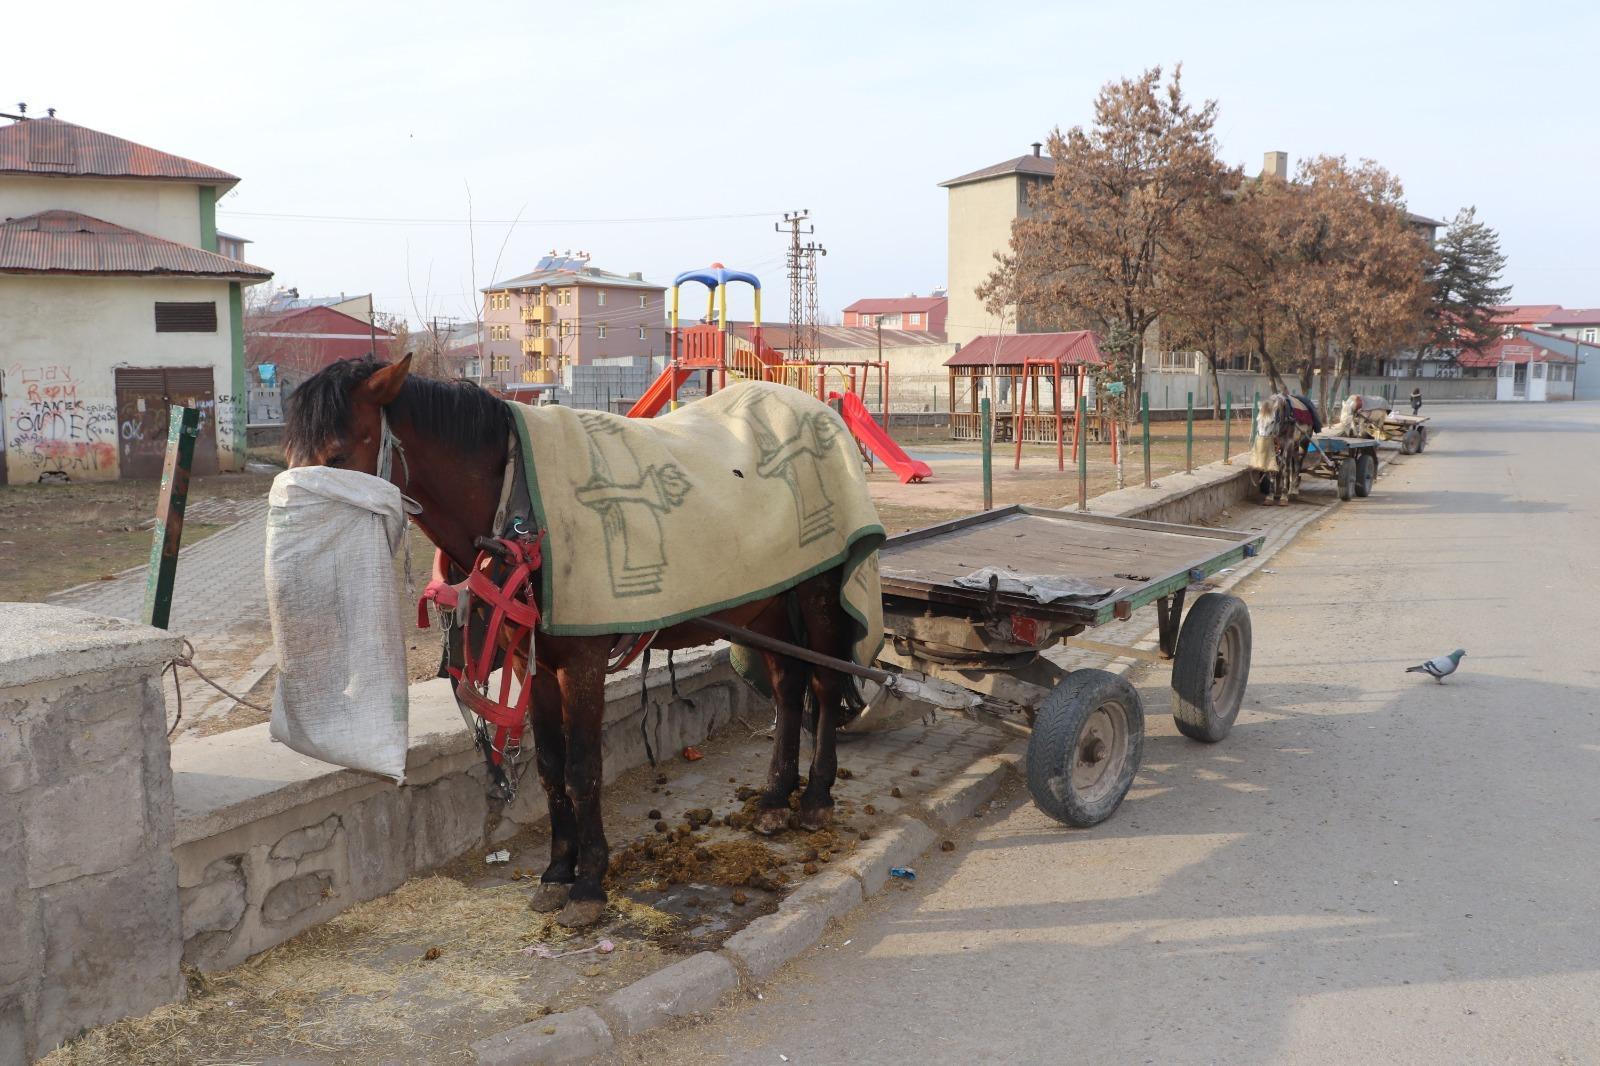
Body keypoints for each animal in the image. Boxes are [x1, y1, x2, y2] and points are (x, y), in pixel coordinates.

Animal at [288, 355, 864, 921]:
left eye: (337, 454)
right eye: (291, 456)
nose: (297, 562)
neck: (519, 512)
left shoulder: (582, 663)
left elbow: (583, 769)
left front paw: (589, 882)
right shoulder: (535, 665)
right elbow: (549, 767)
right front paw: (557, 869)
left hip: (818, 592)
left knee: (825, 683)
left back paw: (816, 796)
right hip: (766, 603)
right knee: (788, 686)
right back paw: (775, 798)